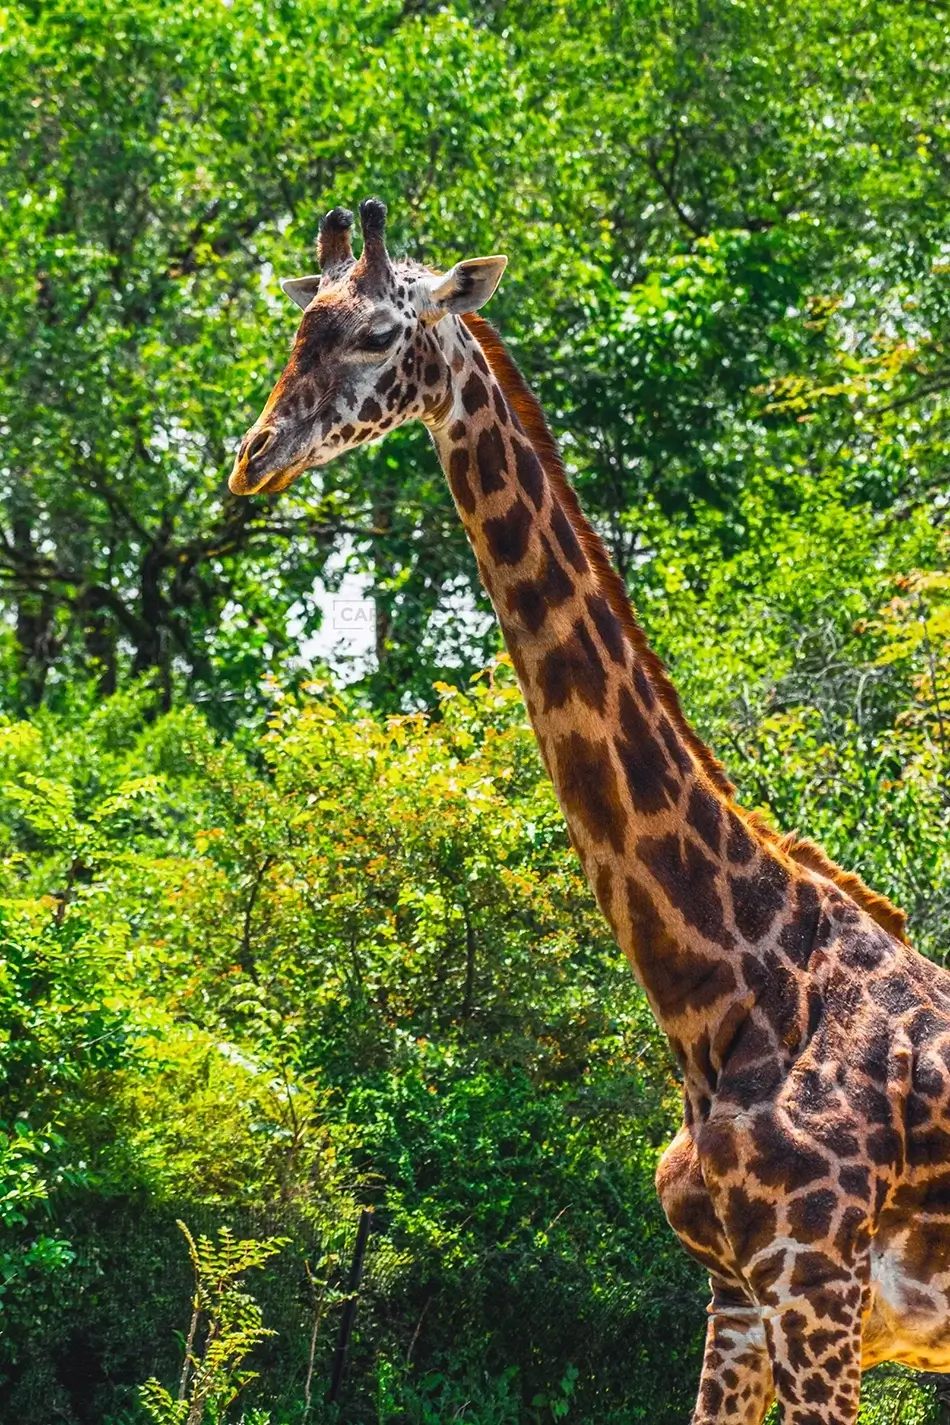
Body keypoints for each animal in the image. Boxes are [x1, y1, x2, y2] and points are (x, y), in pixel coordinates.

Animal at [229, 198, 950, 1424]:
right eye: (296, 329)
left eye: (375, 333)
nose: (252, 459)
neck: (725, 992)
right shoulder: (735, 1296)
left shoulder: (817, 1285)